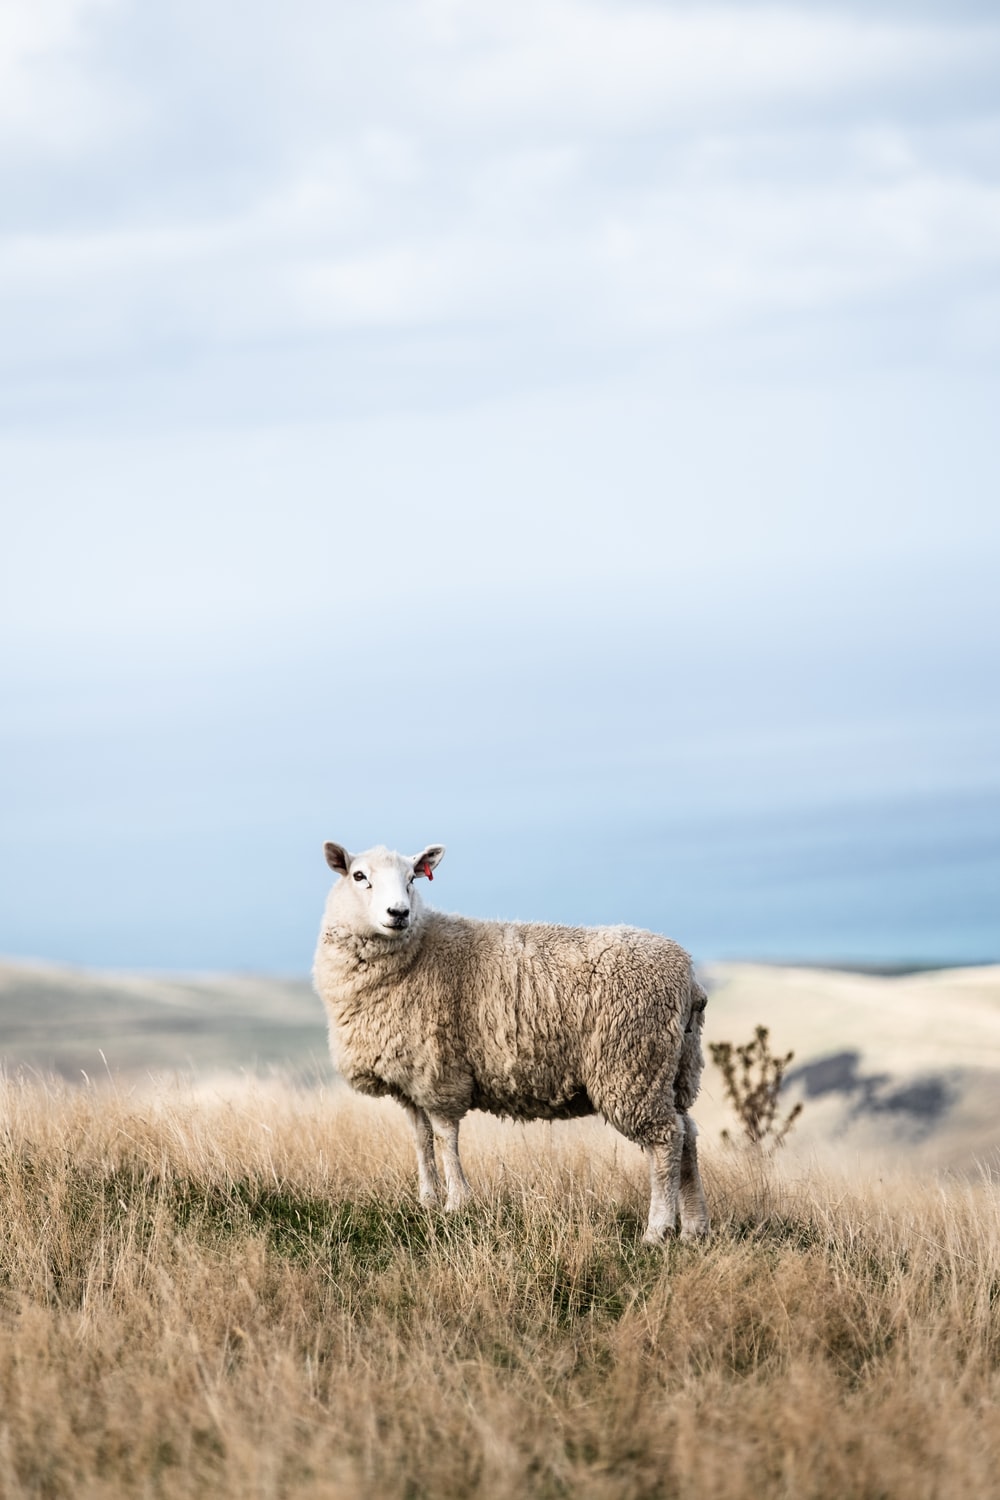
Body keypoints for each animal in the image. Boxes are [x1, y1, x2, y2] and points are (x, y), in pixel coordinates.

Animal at [312, 841, 710, 1245]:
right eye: (359, 876)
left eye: (412, 878)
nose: (399, 913)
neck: (419, 950)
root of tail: (688, 977)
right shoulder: (410, 1079)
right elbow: (421, 1139)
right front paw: (427, 1200)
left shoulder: (440, 1073)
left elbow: (445, 1137)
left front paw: (457, 1203)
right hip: (674, 1068)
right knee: (687, 1134)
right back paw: (694, 1227)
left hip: (632, 1065)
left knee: (665, 1139)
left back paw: (658, 1230)